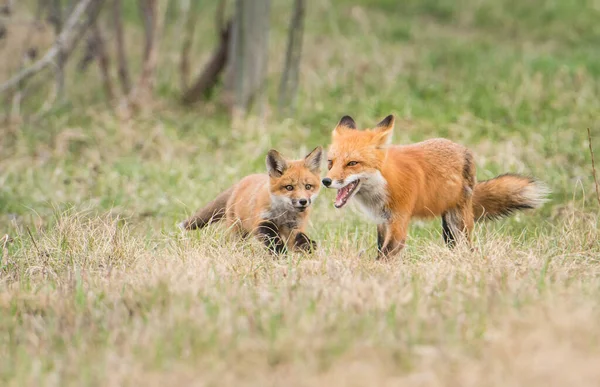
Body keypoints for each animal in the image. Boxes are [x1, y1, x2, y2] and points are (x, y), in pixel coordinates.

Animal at [179, 148, 324, 255]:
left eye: (308, 187)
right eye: (289, 187)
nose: (303, 201)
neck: (283, 214)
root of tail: (240, 182)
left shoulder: (294, 227)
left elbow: (301, 240)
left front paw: (309, 250)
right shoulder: (262, 222)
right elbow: (274, 240)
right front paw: (280, 254)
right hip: (237, 230)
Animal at [324, 115, 548, 260]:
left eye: (352, 163)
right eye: (330, 163)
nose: (326, 181)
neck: (384, 185)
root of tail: (463, 149)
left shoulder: (399, 222)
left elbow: (384, 257)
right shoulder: (382, 221)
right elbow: (380, 249)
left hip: (459, 222)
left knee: (469, 247)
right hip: (447, 228)